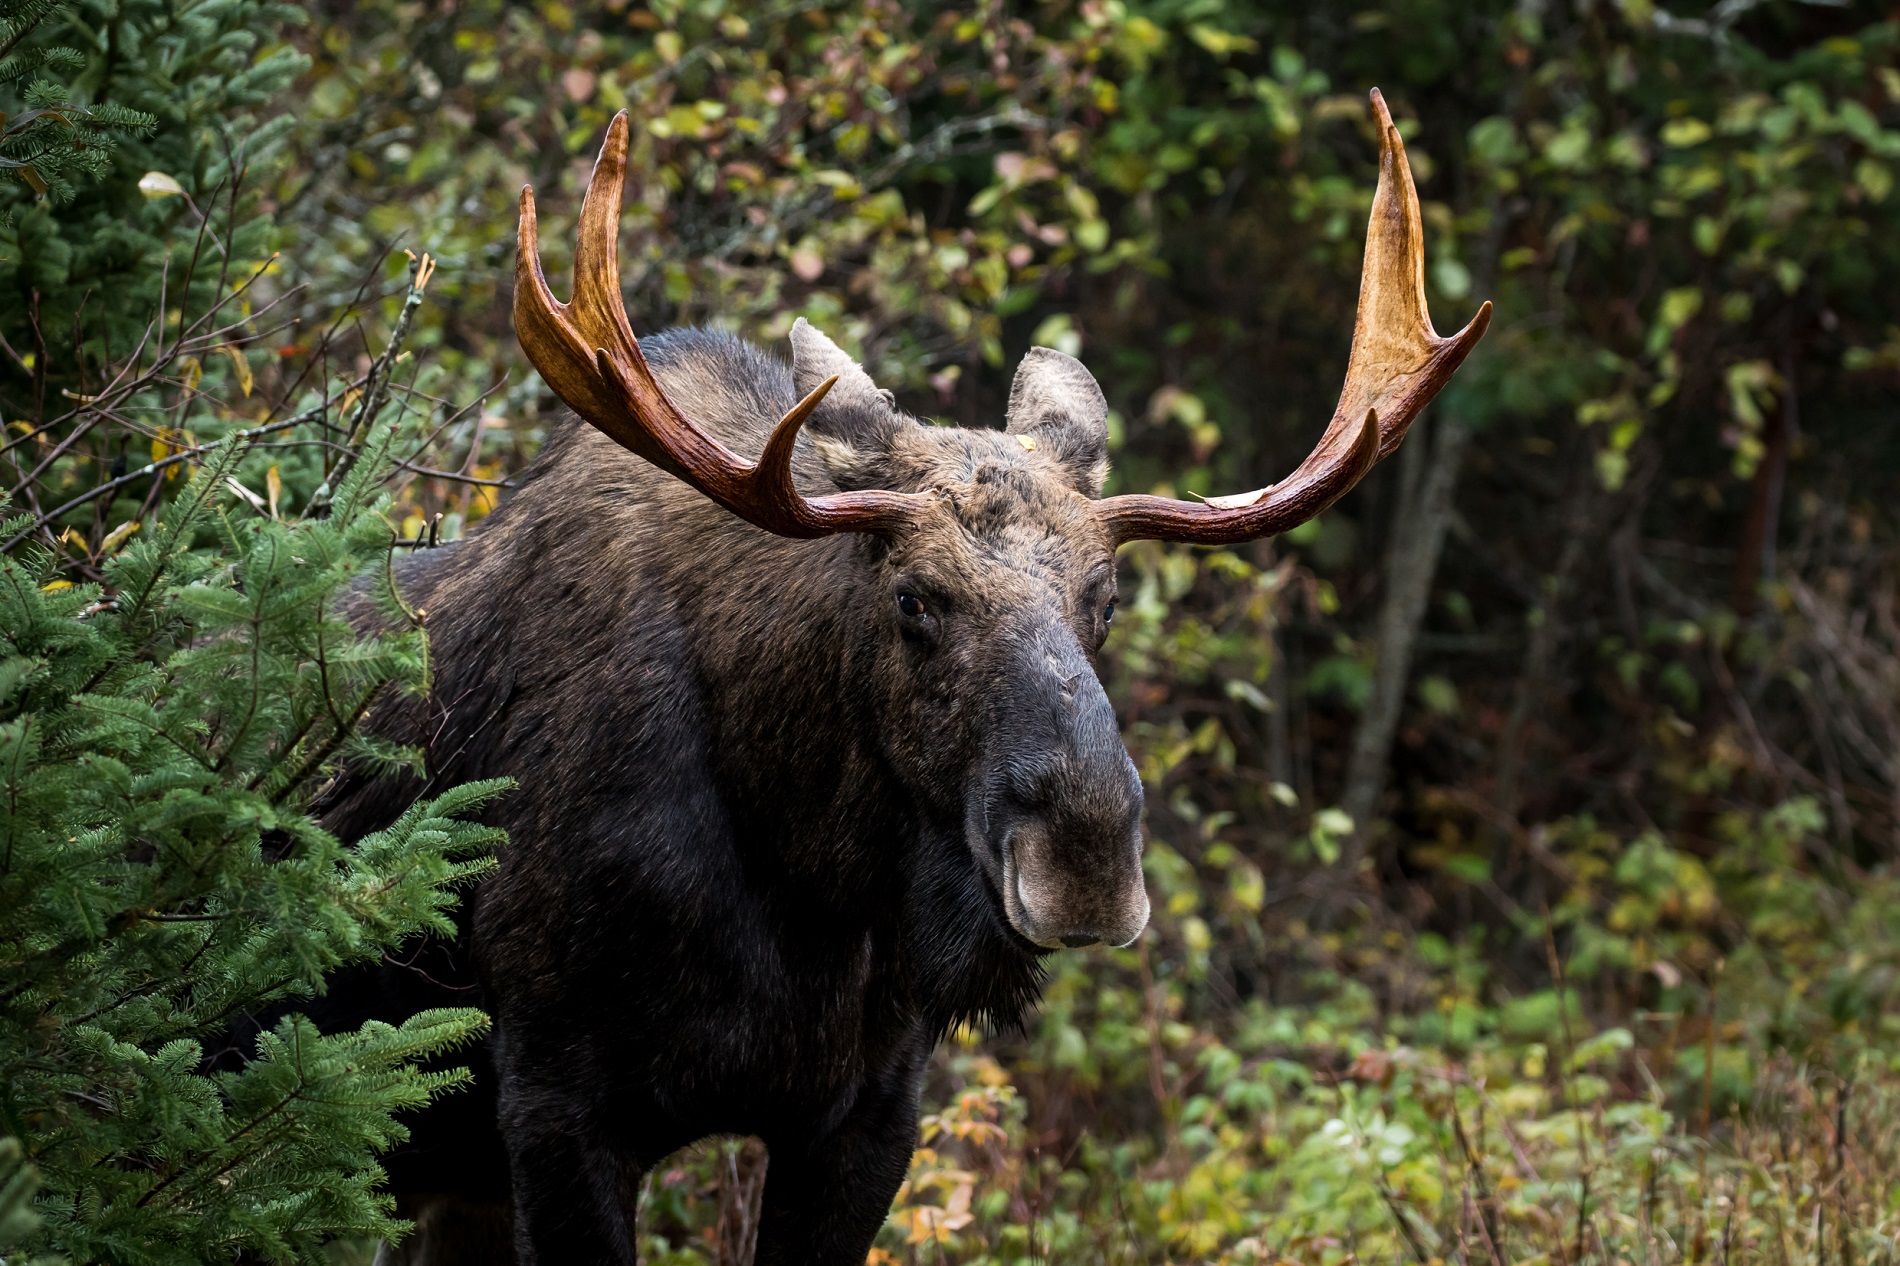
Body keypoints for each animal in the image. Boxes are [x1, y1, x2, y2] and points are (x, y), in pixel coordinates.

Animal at [323, 88, 1482, 1262]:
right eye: (914, 598)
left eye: (1105, 598)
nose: (1085, 859)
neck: (801, 873)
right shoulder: (554, 1098)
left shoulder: (871, 1108)